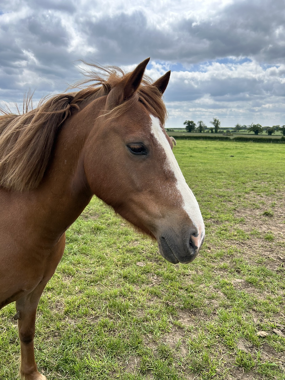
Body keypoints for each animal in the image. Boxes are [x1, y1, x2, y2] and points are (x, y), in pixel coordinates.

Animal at [0, 58, 204, 378]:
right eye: (137, 147)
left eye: (171, 143)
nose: (195, 236)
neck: (18, 224)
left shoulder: (32, 294)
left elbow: (27, 332)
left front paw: (31, 373)